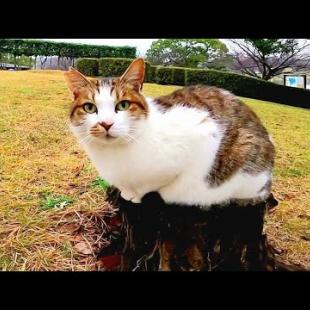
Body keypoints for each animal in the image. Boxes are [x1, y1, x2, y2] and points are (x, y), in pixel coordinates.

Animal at [63, 57, 276, 209]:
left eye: (123, 105)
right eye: (90, 108)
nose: (106, 124)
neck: (115, 153)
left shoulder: (202, 131)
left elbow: (150, 184)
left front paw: (135, 194)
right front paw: (126, 191)